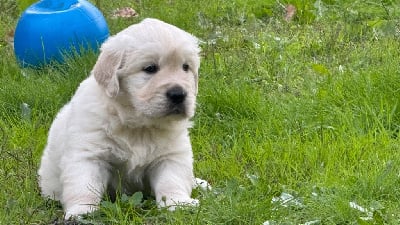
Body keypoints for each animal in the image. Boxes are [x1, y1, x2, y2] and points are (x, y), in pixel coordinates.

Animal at [38, 18, 203, 219]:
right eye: (150, 68)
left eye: (186, 67)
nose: (179, 94)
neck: (139, 125)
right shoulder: (89, 154)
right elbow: (84, 184)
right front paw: (82, 211)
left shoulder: (170, 155)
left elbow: (172, 181)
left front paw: (179, 204)